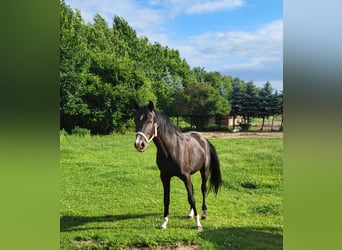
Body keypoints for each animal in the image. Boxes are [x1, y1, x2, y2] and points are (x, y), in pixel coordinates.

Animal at [134, 100, 222, 229]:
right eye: (135, 120)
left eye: (149, 120)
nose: (139, 144)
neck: (172, 149)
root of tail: (204, 139)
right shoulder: (165, 177)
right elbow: (167, 198)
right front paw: (164, 222)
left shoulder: (185, 176)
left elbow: (191, 198)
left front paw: (198, 223)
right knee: (193, 189)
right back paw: (190, 213)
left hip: (204, 171)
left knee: (203, 189)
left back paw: (204, 213)